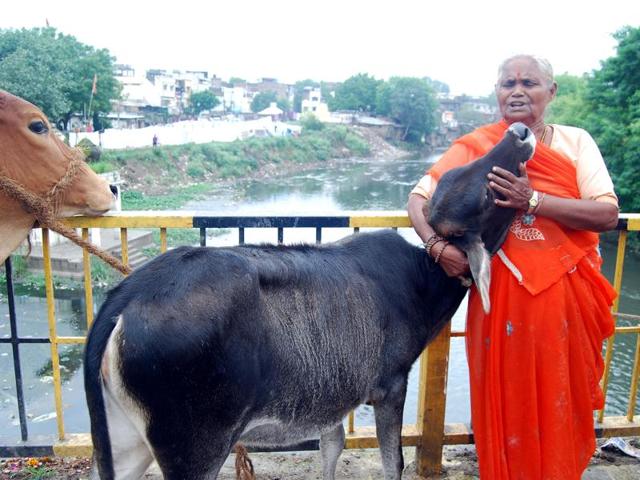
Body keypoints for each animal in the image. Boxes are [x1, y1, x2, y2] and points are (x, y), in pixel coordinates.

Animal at [84, 122, 536, 478]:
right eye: (489, 196)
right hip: (194, 445)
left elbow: (331, 448)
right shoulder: (390, 383)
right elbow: (393, 462)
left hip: (124, 441)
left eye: (462, 170)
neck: (423, 281)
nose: (518, 132)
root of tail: (130, 293)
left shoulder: (332, 399)